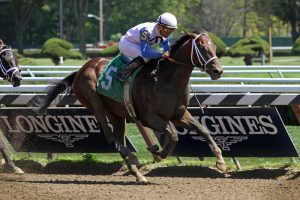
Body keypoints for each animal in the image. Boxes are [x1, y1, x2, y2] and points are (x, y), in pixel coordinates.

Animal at [33, 30, 225, 181]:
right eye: (202, 47)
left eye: (215, 47)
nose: (218, 71)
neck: (165, 79)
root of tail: (81, 70)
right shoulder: (148, 117)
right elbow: (173, 135)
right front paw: (157, 151)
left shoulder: (179, 116)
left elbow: (203, 129)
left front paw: (220, 162)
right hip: (95, 103)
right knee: (110, 136)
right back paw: (133, 159)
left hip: (116, 114)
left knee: (118, 137)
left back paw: (137, 173)